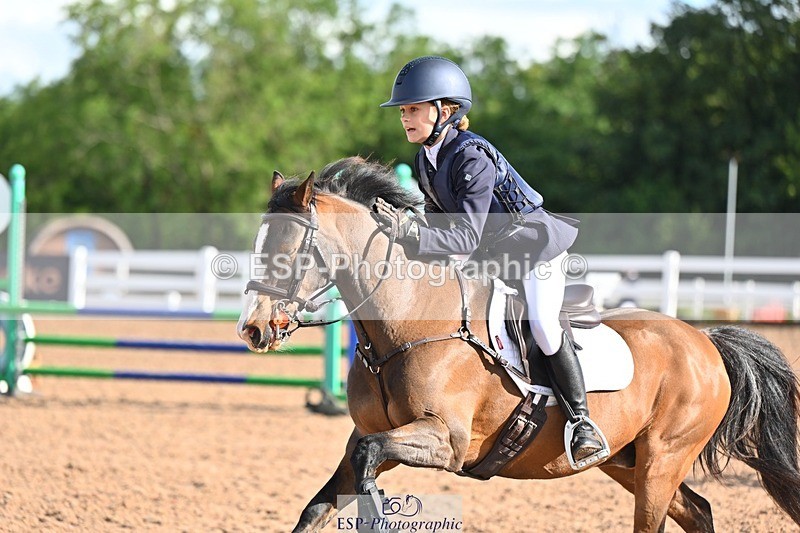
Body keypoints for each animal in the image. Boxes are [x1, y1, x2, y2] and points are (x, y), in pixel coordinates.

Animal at [237, 157, 800, 532]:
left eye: (290, 248)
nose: (252, 329)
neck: (407, 321)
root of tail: (704, 340)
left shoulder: (445, 440)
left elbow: (370, 458)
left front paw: (378, 505)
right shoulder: (369, 434)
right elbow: (323, 499)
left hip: (663, 458)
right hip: (628, 461)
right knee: (698, 511)